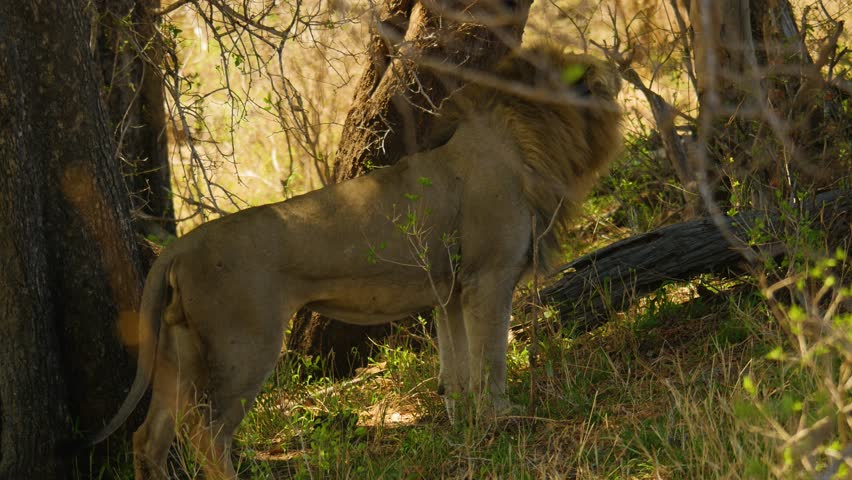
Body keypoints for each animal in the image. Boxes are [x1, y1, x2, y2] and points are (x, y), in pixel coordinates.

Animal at [89, 45, 622, 479]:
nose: (620, 75)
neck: (530, 135)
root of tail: (180, 247)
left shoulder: (450, 293)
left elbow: (456, 373)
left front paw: (465, 428)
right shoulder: (488, 278)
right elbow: (490, 360)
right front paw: (504, 420)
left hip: (177, 349)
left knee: (149, 436)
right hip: (245, 345)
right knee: (205, 433)